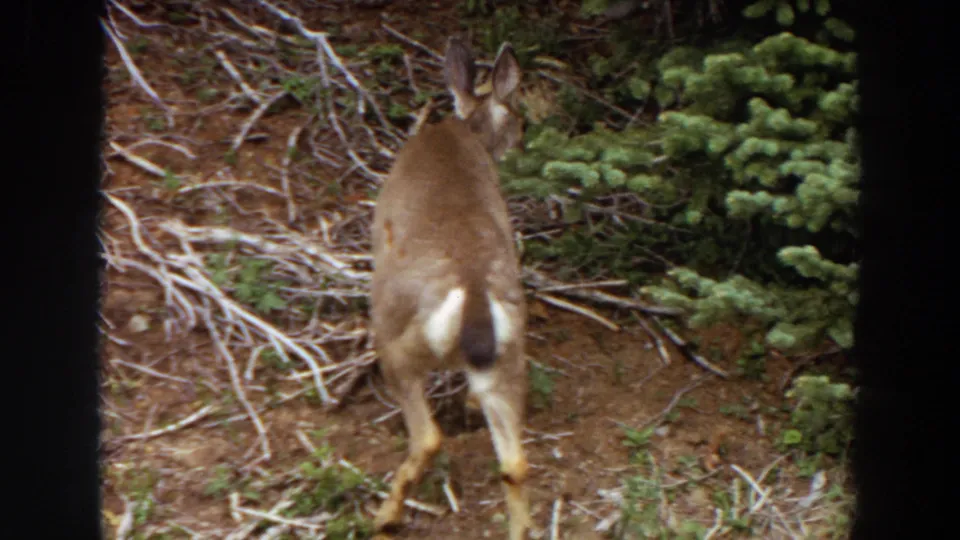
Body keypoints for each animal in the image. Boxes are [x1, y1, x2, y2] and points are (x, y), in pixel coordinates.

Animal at [368, 36, 531, 540]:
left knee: (428, 437)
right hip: (506, 357)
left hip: (399, 346)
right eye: (519, 117)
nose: (522, 142)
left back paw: (384, 517)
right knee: (516, 463)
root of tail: (474, 300)